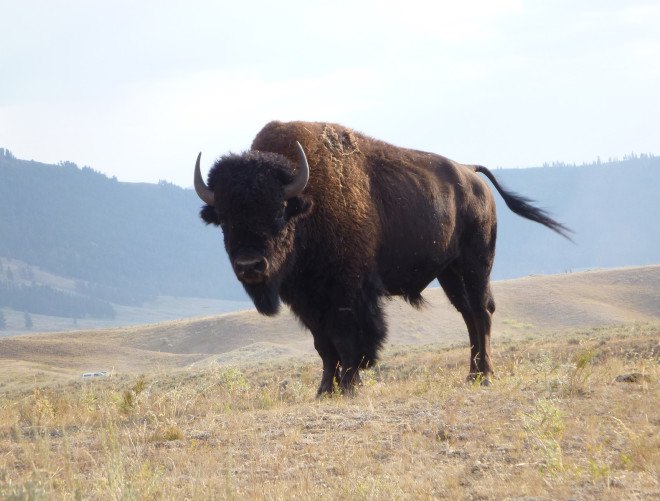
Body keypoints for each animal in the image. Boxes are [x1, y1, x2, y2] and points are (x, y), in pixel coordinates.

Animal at [195, 121, 570, 395]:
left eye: (277, 212)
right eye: (224, 218)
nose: (249, 266)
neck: (306, 202)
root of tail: (471, 175)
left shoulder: (348, 295)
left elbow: (350, 341)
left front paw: (349, 386)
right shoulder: (307, 300)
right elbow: (324, 345)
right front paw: (324, 390)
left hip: (476, 264)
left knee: (482, 312)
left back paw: (485, 375)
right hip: (450, 273)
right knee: (469, 316)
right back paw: (472, 375)